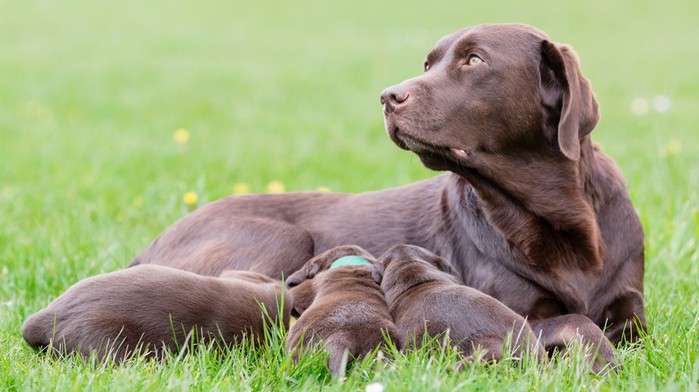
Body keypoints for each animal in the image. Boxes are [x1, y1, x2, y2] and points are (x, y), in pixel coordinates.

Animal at [130, 23, 644, 346]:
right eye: (429, 63)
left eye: (474, 60)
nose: (387, 96)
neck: (563, 224)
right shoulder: (518, 312)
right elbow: (578, 322)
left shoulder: (631, 304)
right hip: (280, 238)